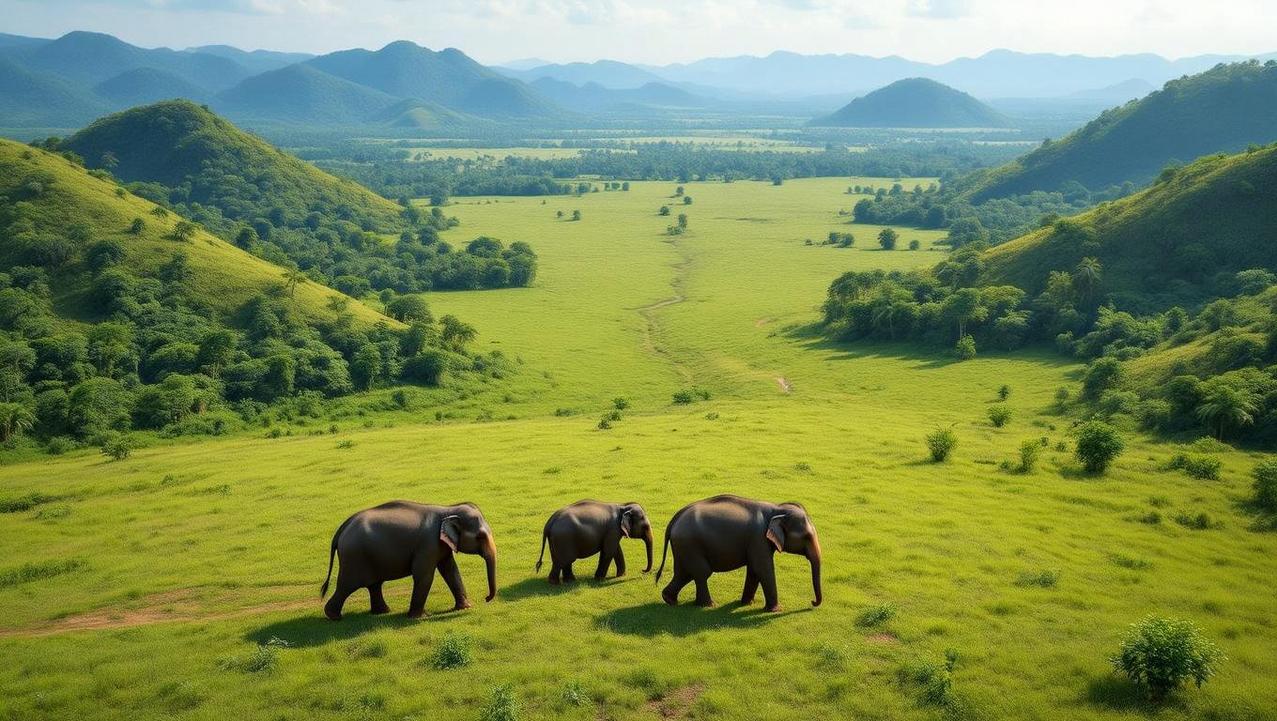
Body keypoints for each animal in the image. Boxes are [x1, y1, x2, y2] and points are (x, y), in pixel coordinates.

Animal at [319, 500, 497, 620]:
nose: (486, 598)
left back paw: (383, 611)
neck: (447, 509)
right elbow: (424, 576)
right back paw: (334, 617)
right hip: (354, 558)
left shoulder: (441, 546)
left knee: (374, 585)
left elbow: (451, 570)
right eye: (480, 536)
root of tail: (342, 528)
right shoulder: (427, 544)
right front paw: (420, 617)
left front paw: (465, 608)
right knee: (347, 586)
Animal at [655, 494, 822, 612]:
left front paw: (746, 603)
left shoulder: (756, 542)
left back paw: (670, 600)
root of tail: (674, 520)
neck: (777, 508)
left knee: (684, 573)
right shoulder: (758, 538)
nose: (812, 602)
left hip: (683, 546)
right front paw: (776, 610)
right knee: (702, 573)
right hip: (690, 544)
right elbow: (763, 569)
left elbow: (754, 570)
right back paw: (709, 605)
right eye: (807, 536)